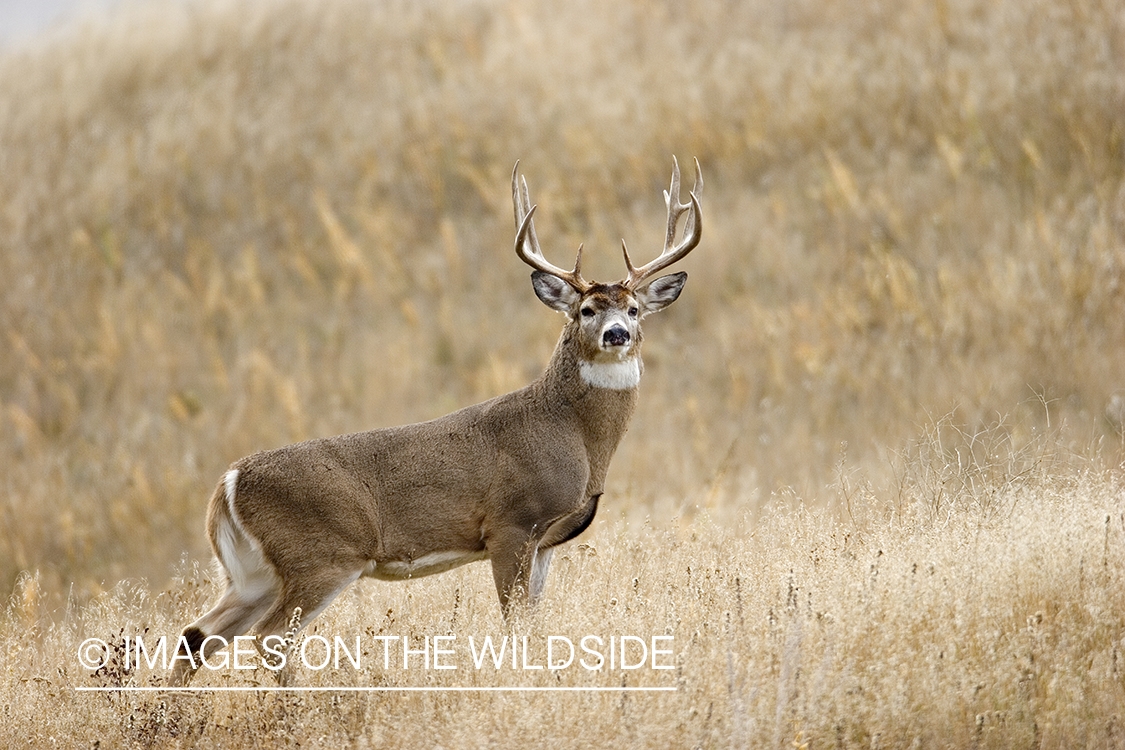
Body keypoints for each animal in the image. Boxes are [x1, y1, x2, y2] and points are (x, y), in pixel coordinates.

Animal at [166, 158, 697, 688]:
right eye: (586, 310)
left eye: (634, 308)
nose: (617, 333)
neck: (576, 437)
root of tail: (229, 482)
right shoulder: (511, 523)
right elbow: (515, 627)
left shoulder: (546, 541)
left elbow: (535, 624)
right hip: (321, 554)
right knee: (270, 636)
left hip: (252, 572)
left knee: (197, 634)